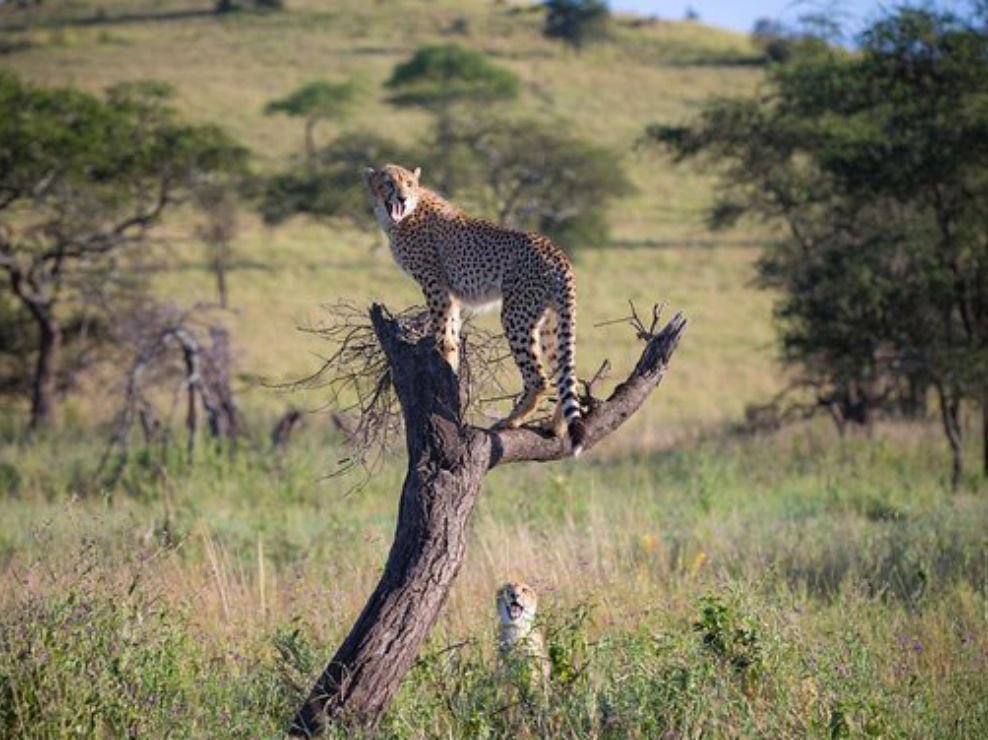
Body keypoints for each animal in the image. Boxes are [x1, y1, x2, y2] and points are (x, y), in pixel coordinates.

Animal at [363, 163, 586, 455]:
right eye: (388, 182)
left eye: (409, 184)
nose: (402, 197)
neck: (402, 217)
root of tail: (555, 250)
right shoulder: (452, 294)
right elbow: (452, 330)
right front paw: (452, 365)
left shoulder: (435, 284)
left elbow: (441, 327)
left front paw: (443, 356)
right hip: (550, 321)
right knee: (563, 374)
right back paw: (556, 426)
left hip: (515, 315)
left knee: (540, 379)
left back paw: (512, 421)